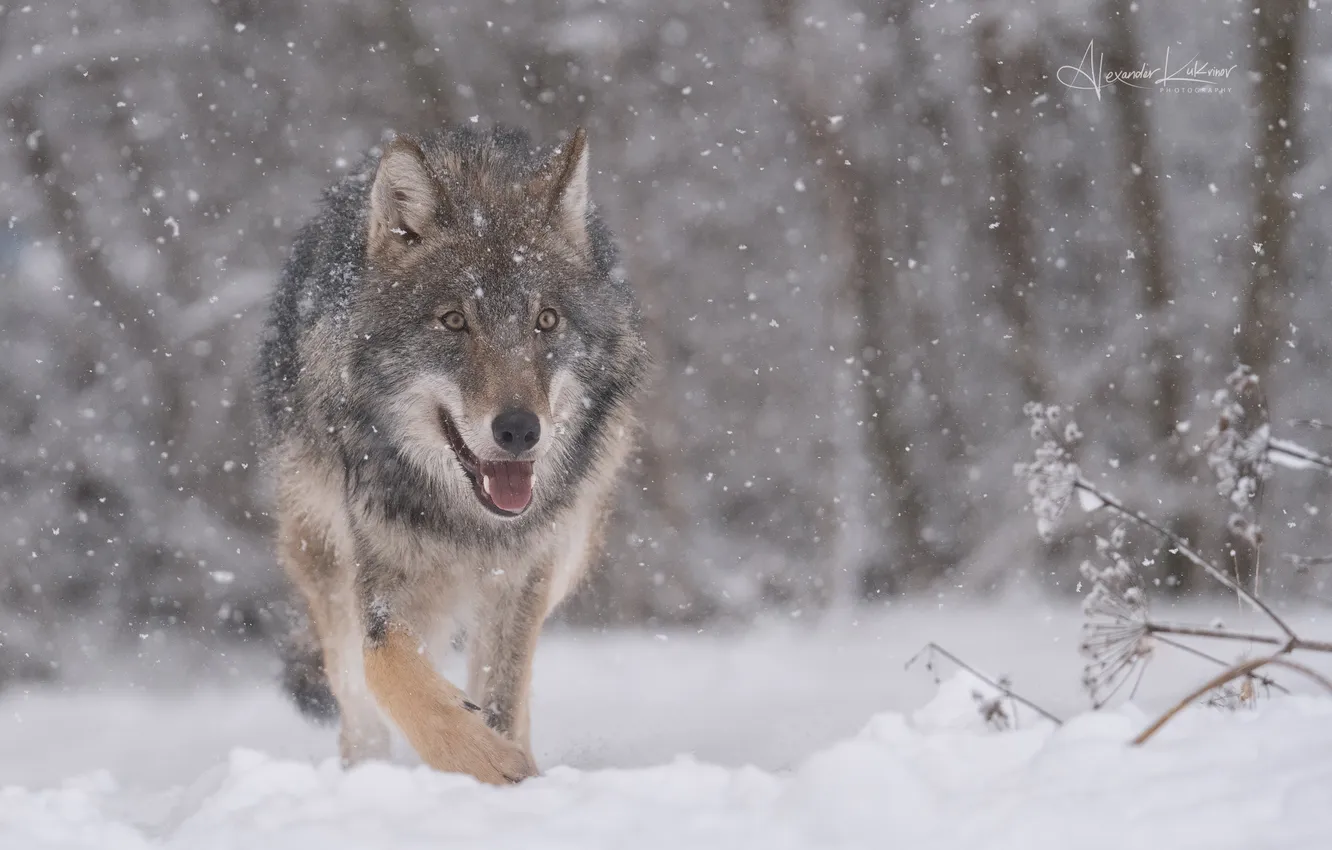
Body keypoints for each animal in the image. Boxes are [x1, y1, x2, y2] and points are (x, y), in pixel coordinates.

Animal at [255, 124, 648, 784]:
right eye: (454, 321)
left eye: (547, 321)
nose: (519, 430)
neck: (469, 522)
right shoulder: (380, 571)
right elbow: (385, 662)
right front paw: (482, 759)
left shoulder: (523, 572)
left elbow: (504, 692)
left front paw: (511, 763)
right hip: (323, 558)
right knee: (357, 703)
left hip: (568, 548)